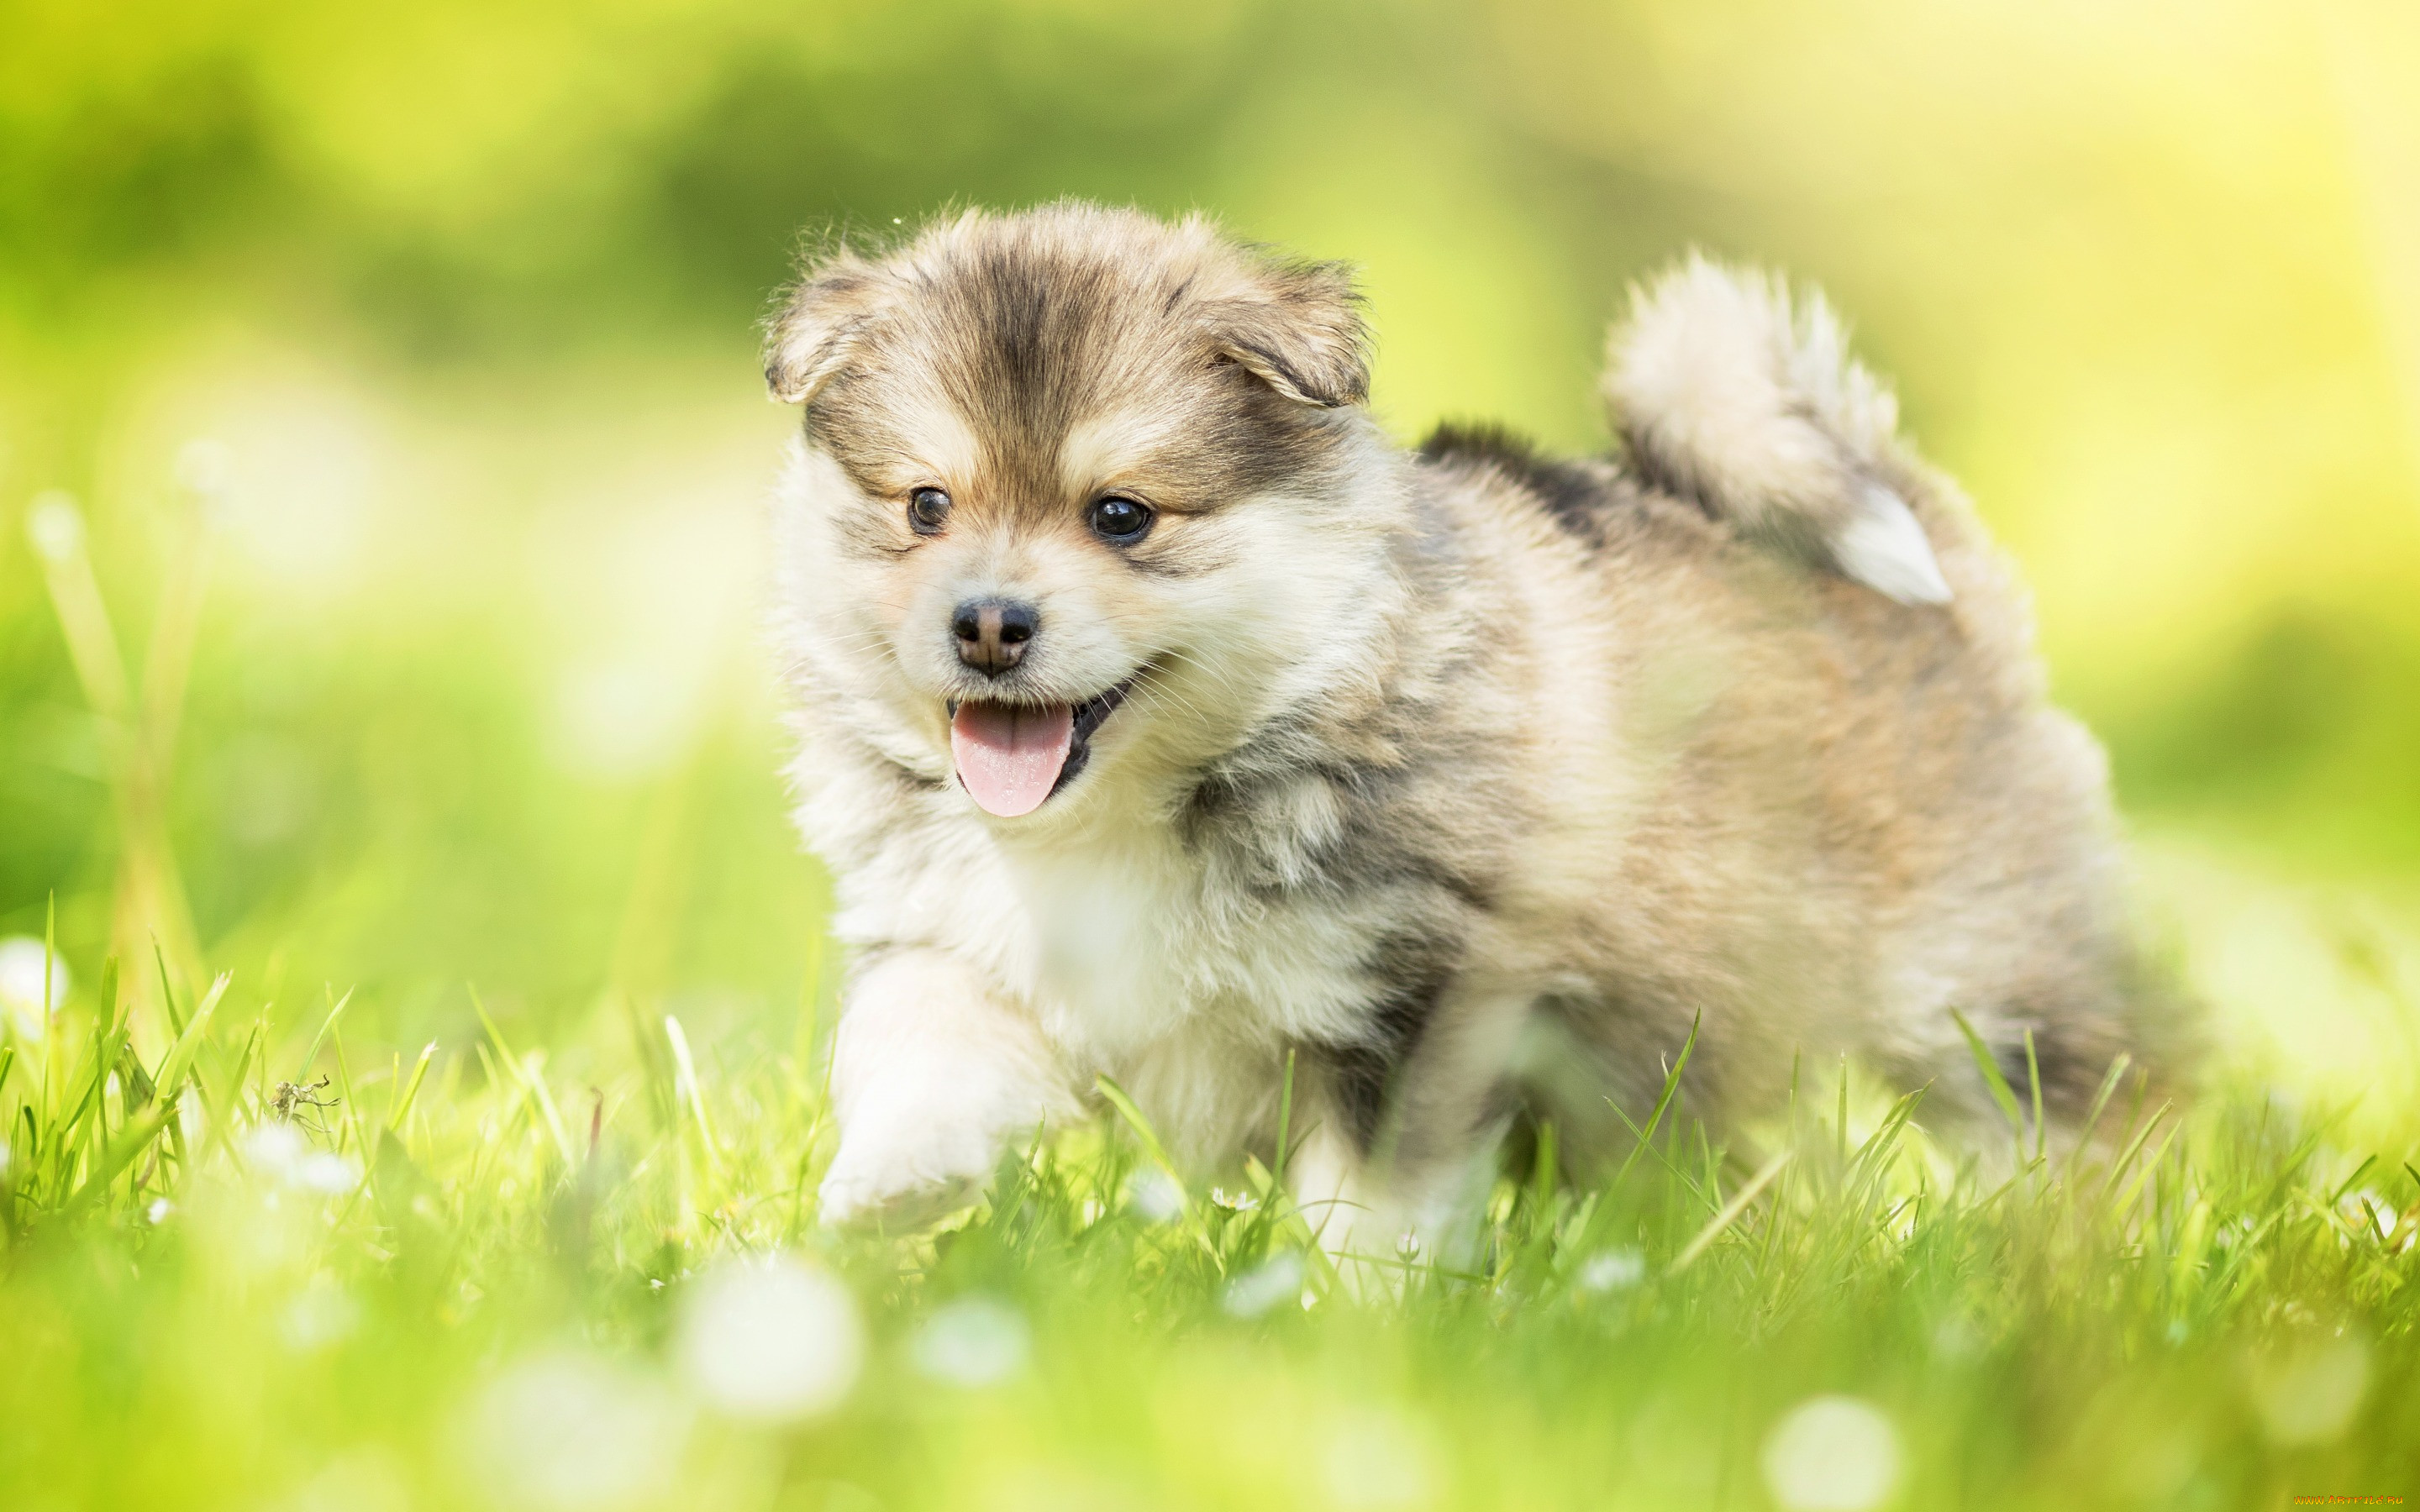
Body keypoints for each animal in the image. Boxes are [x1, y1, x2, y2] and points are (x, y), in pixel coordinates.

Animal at [765, 201, 2187, 1248]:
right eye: (926, 506)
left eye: (1121, 516)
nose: (987, 626)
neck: (1128, 810)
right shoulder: (957, 933)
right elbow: (922, 1042)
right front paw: (891, 1185)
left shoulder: (1413, 994)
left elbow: (1374, 1201)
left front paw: (1350, 1320)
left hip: (1977, 970)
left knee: (2074, 1092)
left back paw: (2088, 1238)